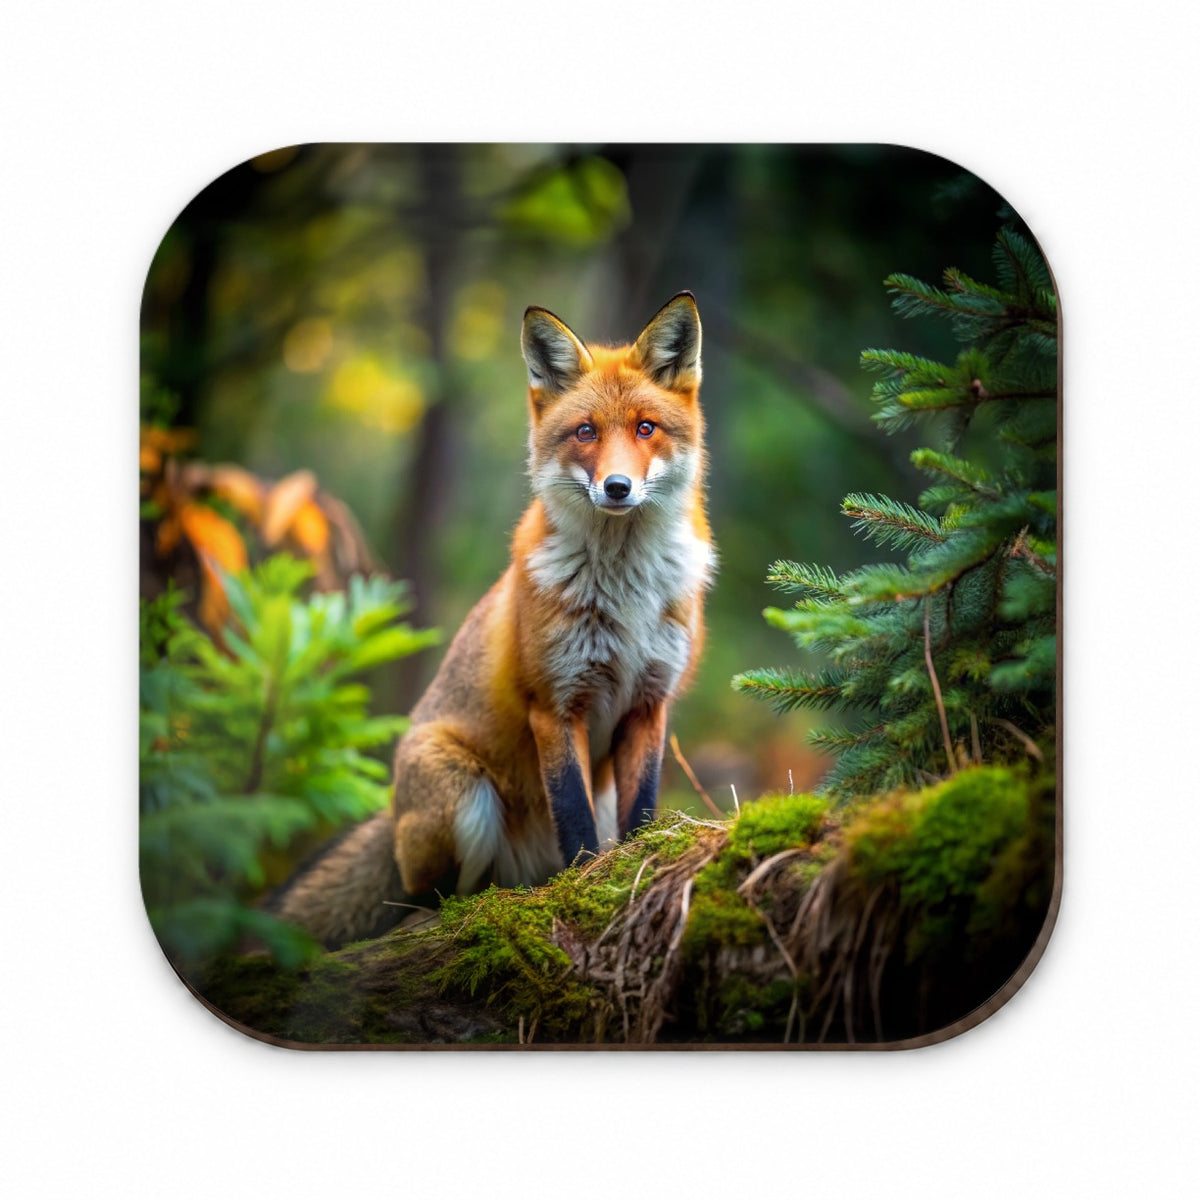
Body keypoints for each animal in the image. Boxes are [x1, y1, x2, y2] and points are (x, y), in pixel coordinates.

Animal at [272, 292, 715, 946]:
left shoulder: (650, 702)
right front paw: (585, 885)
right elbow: (574, 818)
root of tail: (393, 812)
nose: (617, 487)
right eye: (586, 432)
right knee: (426, 899)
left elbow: (641, 813)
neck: (625, 595)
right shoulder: (554, 702)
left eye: (645, 428)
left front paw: (635, 869)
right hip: (463, 793)